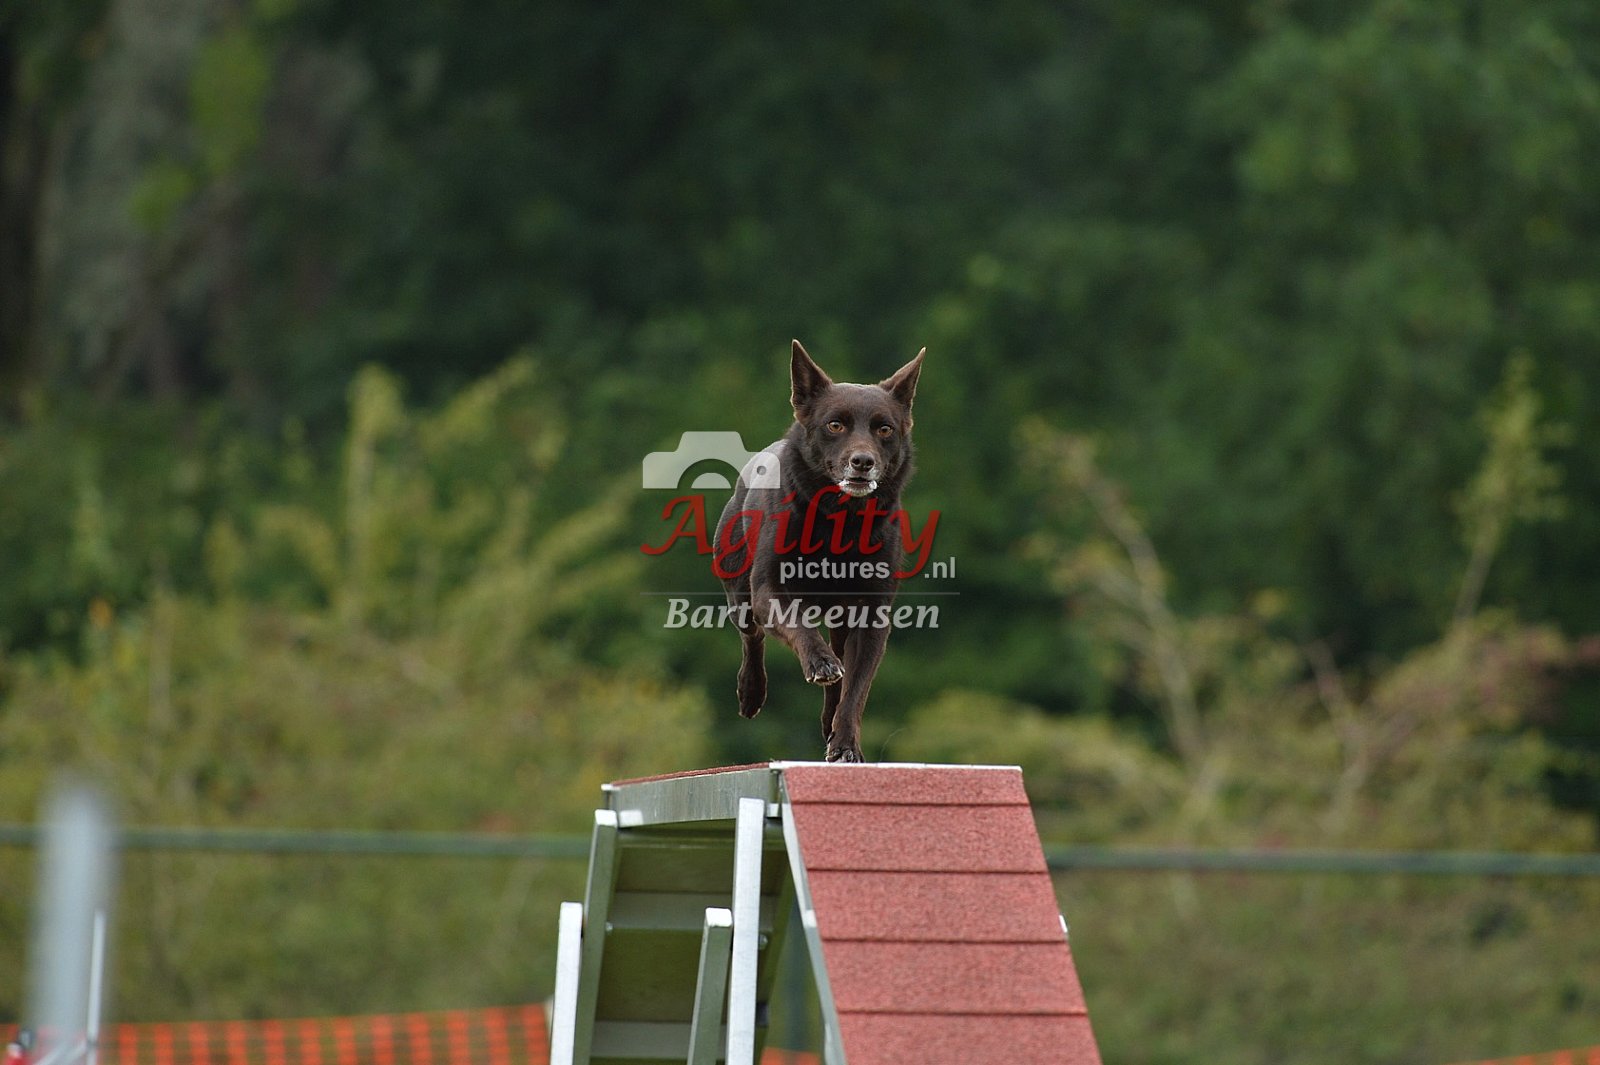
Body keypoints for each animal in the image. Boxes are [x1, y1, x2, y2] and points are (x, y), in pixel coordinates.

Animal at [715, 340, 925, 763]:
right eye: (835, 425)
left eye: (884, 429)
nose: (863, 462)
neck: (839, 522)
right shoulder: (769, 590)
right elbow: (798, 624)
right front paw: (819, 662)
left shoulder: (870, 616)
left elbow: (855, 689)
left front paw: (844, 744)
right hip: (739, 592)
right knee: (753, 637)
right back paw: (751, 693)